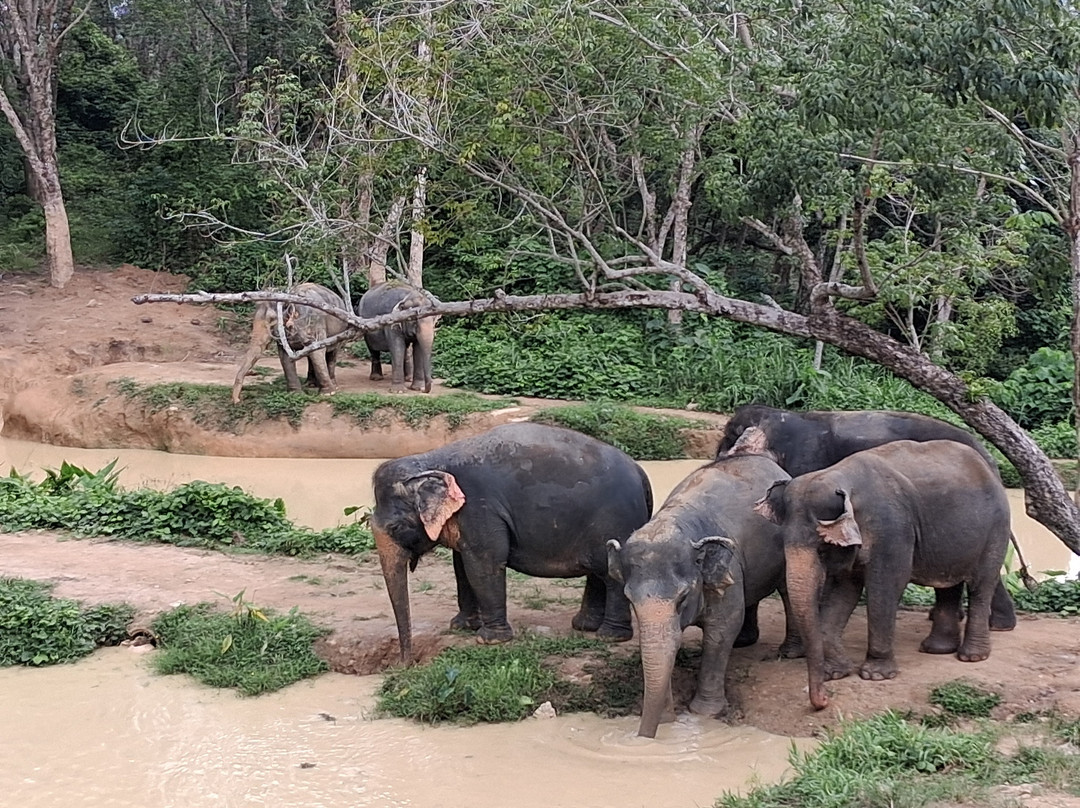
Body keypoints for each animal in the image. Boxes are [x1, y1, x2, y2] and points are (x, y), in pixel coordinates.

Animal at [371, 422, 654, 663]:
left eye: (397, 527)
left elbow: (484, 564)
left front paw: (490, 640)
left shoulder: (480, 508)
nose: (405, 663)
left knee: (611, 575)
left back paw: (610, 636)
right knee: (597, 572)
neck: (431, 461)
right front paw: (462, 626)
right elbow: (461, 565)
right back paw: (585, 626)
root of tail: (642, 473)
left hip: (616, 521)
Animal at [606, 454, 800, 738]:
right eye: (630, 601)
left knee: (787, 589)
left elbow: (721, 630)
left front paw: (705, 714)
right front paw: (668, 719)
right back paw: (744, 642)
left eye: (682, 598)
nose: (644, 738)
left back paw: (789, 652)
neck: (679, 522)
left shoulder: (728, 568)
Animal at [754, 439, 1012, 711]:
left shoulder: (892, 528)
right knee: (947, 585)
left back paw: (972, 656)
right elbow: (844, 590)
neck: (840, 476)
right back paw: (937, 649)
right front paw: (836, 673)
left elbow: (886, 585)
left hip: (998, 525)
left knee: (981, 585)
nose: (824, 700)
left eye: (823, 549)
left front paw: (875, 675)